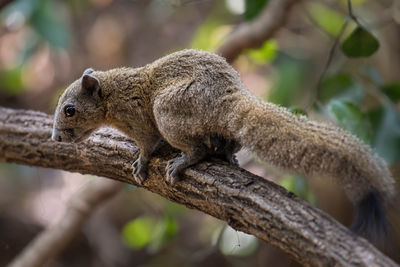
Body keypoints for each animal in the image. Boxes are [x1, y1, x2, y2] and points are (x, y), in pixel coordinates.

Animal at [52, 49, 396, 246]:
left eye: (70, 110)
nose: (55, 138)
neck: (113, 96)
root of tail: (228, 98)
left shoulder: (141, 122)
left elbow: (148, 146)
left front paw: (141, 162)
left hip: (168, 110)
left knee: (198, 148)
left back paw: (185, 160)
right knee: (227, 143)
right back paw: (227, 156)